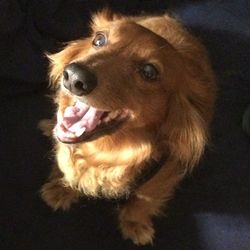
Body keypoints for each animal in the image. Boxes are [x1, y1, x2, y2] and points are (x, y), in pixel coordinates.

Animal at [40, 9, 216, 246]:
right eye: (99, 40)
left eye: (149, 71)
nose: (74, 76)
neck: (103, 153)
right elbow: (65, 166)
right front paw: (61, 188)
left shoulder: (166, 172)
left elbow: (143, 200)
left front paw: (134, 223)